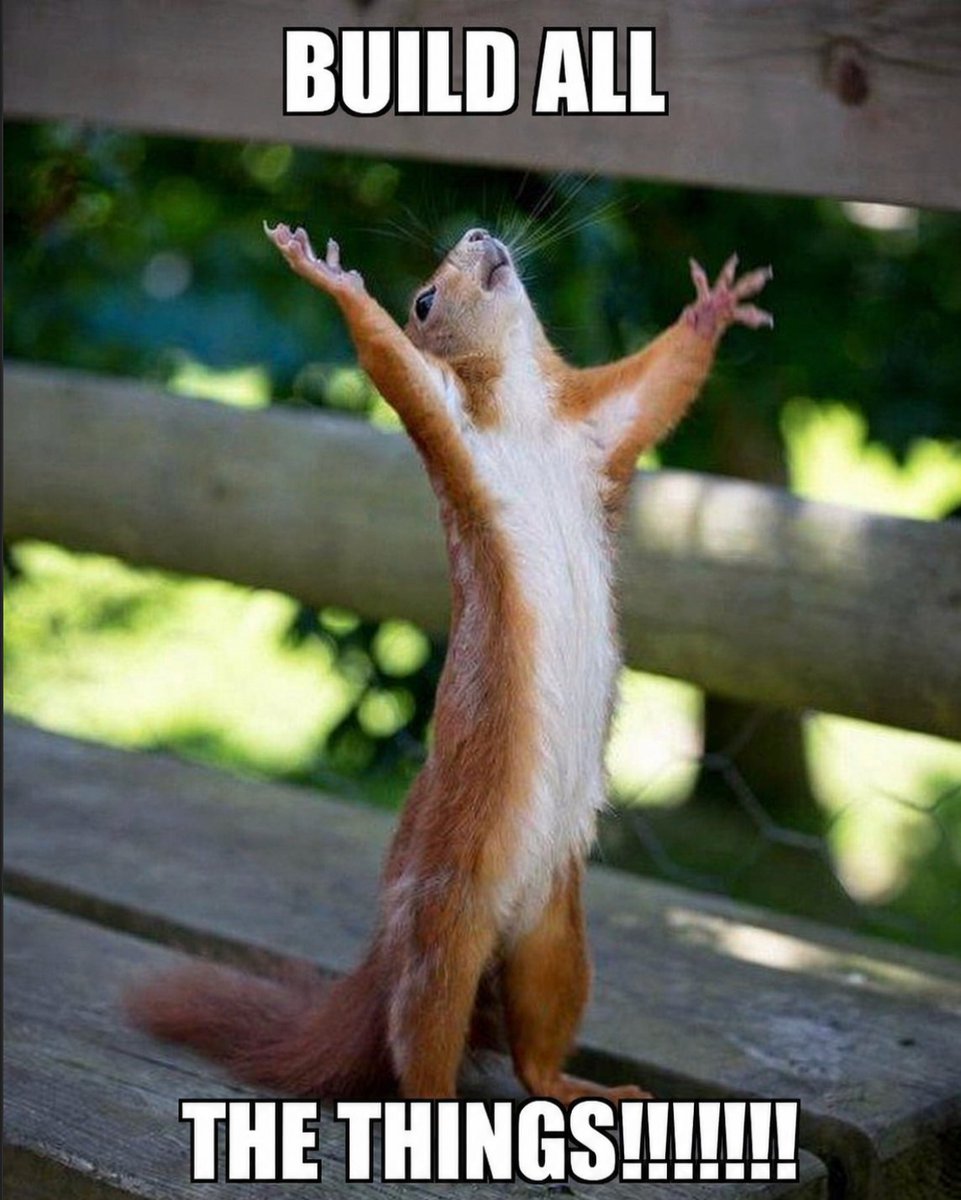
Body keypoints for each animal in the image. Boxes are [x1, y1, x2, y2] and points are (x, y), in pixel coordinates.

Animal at [128, 221, 772, 1103]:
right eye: (424, 300)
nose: (477, 233)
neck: (528, 414)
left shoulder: (599, 427)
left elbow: (660, 384)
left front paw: (711, 309)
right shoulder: (447, 424)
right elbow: (388, 362)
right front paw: (330, 278)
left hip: (555, 937)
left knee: (536, 1048)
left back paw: (584, 1089)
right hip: (444, 927)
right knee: (422, 1042)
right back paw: (441, 1100)